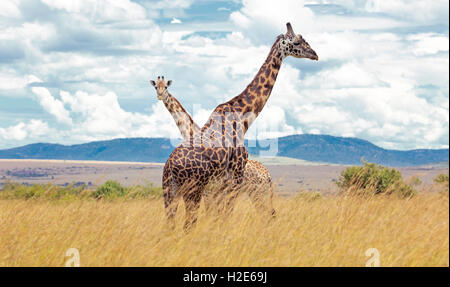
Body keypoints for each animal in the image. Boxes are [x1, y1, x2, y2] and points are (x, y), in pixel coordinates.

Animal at [149, 76, 274, 218]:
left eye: (165, 87)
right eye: (155, 86)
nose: (159, 96)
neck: (191, 132)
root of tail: (268, 175)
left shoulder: (209, 191)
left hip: (258, 191)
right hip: (255, 192)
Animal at [162, 22, 316, 232]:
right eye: (298, 41)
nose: (315, 54)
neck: (243, 118)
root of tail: (170, 167)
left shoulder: (221, 186)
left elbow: (220, 217)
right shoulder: (234, 177)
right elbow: (225, 216)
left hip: (169, 192)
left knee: (171, 225)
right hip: (193, 190)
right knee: (188, 225)